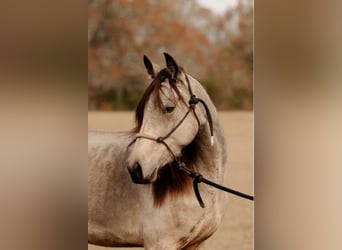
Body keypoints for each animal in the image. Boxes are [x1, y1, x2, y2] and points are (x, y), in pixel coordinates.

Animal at [88, 53, 227, 250]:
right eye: (143, 112)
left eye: (168, 108)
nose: (135, 168)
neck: (206, 190)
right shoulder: (160, 244)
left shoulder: (197, 244)